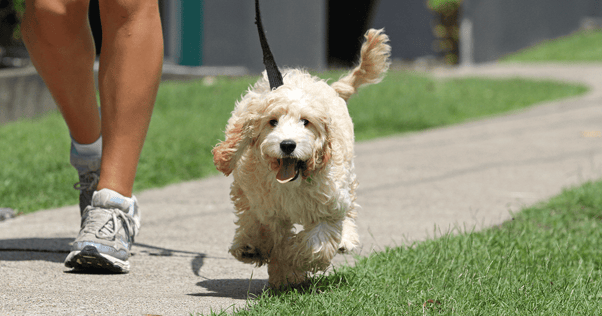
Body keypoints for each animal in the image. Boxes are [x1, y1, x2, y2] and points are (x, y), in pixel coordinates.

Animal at [211, 3, 390, 288]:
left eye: (306, 122)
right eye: (272, 122)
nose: (287, 145)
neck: (293, 183)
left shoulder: (329, 207)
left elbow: (315, 244)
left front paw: (289, 266)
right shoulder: (268, 209)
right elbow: (270, 230)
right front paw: (279, 266)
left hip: (347, 175)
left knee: (349, 209)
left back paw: (346, 239)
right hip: (245, 188)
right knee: (247, 212)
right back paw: (248, 246)